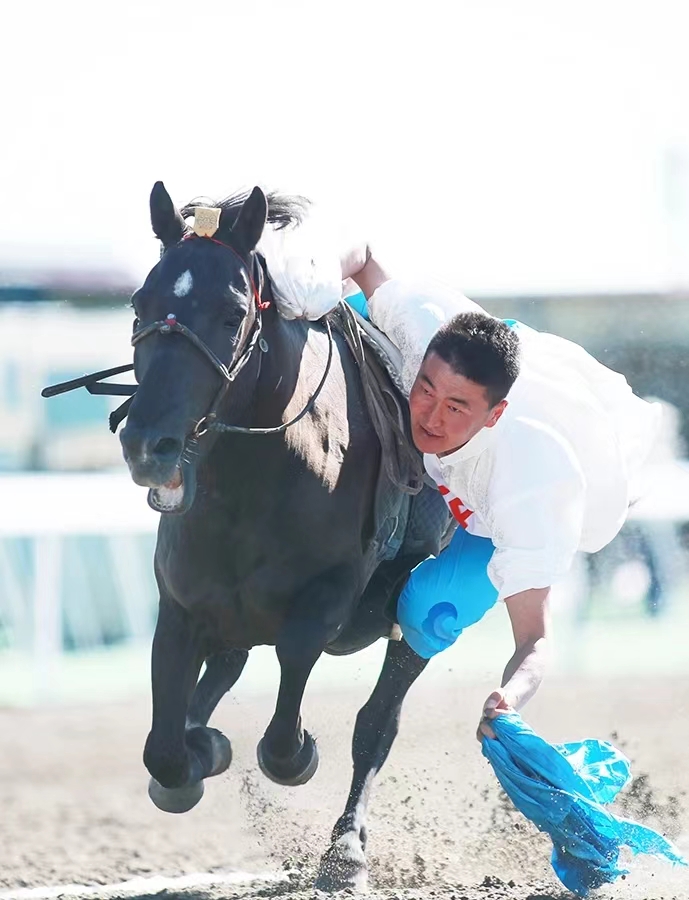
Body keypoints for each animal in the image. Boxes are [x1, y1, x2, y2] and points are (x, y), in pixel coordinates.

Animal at [118, 181, 448, 884]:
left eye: (231, 312)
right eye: (140, 303)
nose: (147, 444)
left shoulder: (328, 595)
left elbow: (287, 724)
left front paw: (294, 756)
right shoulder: (184, 600)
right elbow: (165, 747)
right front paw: (198, 751)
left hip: (418, 607)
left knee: (379, 719)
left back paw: (346, 844)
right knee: (224, 668)